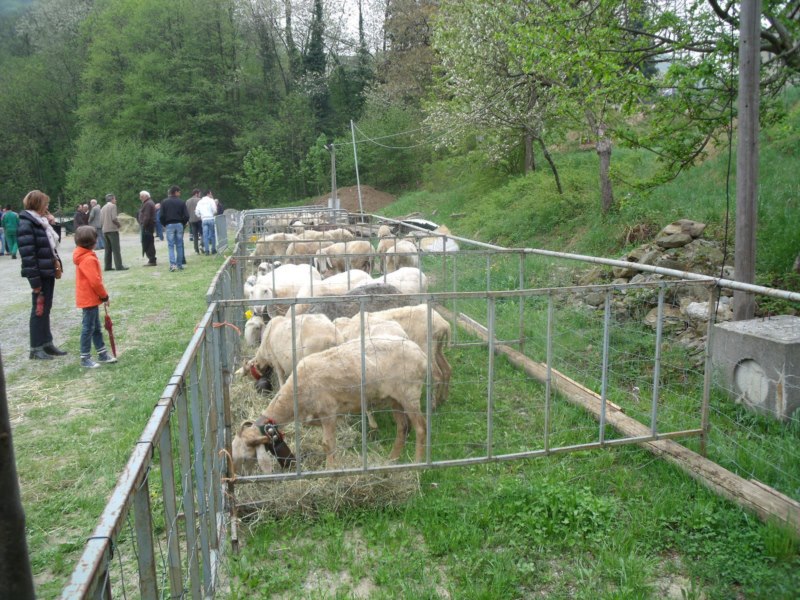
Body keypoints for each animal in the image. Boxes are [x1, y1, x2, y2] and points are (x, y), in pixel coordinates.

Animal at [233, 336, 428, 472]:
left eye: (245, 458)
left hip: (410, 394)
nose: (241, 478)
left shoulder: (328, 411)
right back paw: (392, 460)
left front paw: (330, 470)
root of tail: (421, 353)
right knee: (403, 428)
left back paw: (418, 464)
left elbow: (327, 444)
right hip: (395, 398)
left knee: (420, 428)